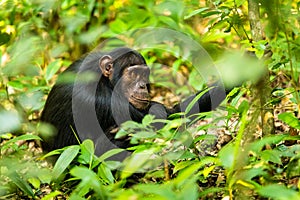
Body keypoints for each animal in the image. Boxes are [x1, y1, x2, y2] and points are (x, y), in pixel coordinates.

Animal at [39, 47, 227, 156]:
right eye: (134, 74)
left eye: (144, 75)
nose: (143, 85)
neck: (105, 81)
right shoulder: (101, 101)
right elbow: (165, 117)